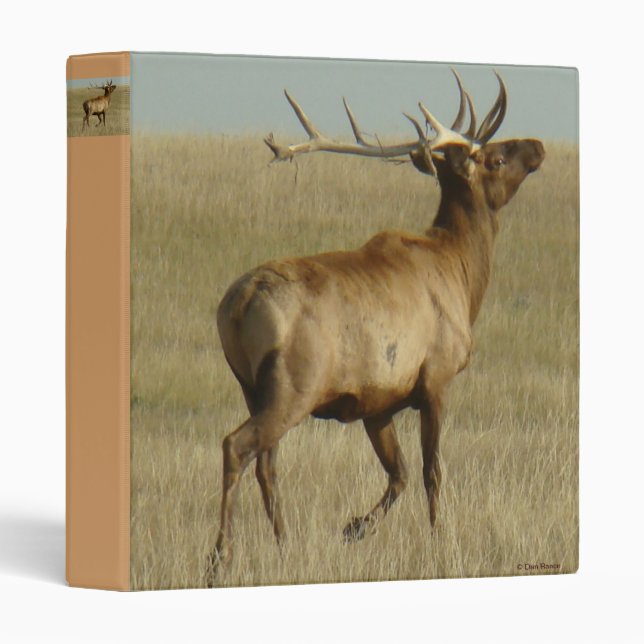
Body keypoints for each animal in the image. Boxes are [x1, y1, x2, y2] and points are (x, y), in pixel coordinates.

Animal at [208, 69, 545, 578]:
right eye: (496, 157)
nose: (539, 145)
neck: (463, 275)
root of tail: (238, 304)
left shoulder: (376, 402)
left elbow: (398, 474)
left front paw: (353, 528)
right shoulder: (436, 378)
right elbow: (431, 471)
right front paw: (439, 539)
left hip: (252, 387)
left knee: (268, 466)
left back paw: (285, 544)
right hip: (293, 387)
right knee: (237, 446)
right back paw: (220, 555)